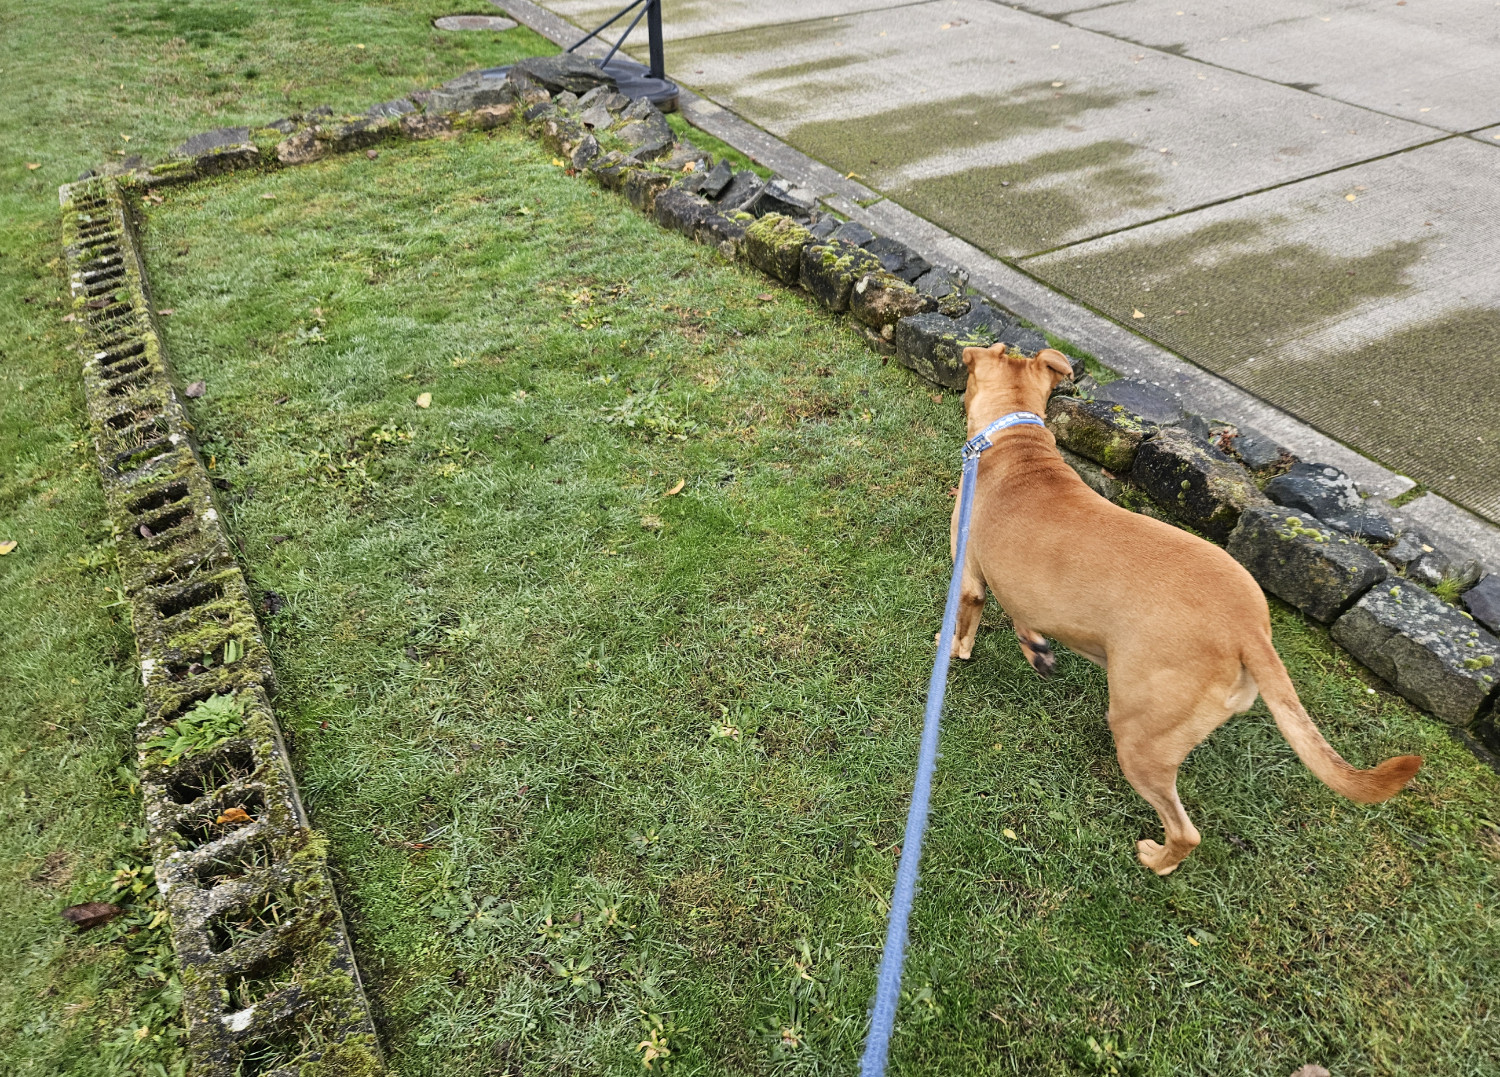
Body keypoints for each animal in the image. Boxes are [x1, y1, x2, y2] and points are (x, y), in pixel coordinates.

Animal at [954, 346, 1422, 876]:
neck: (1016, 441)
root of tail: (1249, 629)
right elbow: (1027, 617)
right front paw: (1036, 649)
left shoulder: (969, 579)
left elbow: (965, 624)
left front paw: (952, 649)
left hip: (1142, 740)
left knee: (1184, 830)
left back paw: (1157, 859)